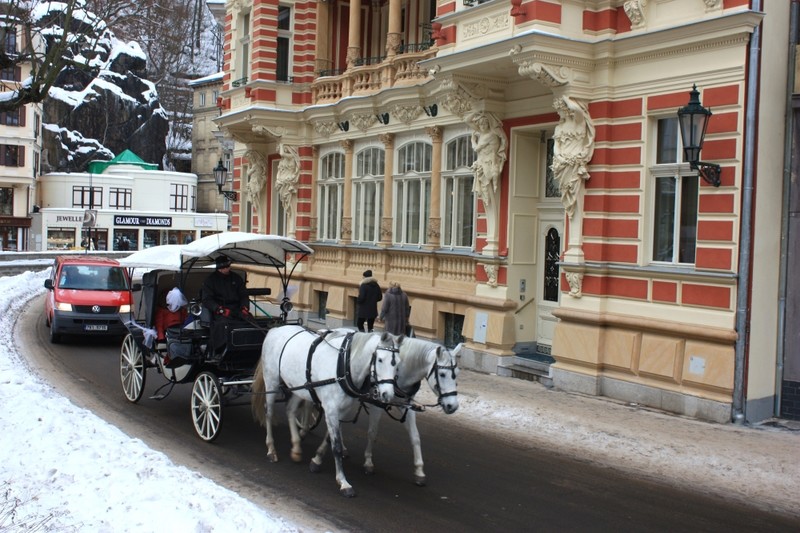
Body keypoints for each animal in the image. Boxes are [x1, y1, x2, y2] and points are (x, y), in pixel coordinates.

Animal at [252, 324, 398, 498]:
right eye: (380, 359)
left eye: (397, 363)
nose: (387, 395)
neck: (344, 365)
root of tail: (274, 330)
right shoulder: (331, 409)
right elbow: (336, 446)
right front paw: (343, 482)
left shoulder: (340, 410)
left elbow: (331, 439)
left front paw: (316, 460)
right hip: (272, 382)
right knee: (269, 413)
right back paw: (271, 449)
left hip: (300, 388)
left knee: (290, 410)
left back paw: (296, 448)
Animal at [364, 336, 460, 486]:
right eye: (443, 374)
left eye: (457, 374)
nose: (453, 406)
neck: (399, 371)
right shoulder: (377, 404)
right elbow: (372, 433)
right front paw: (368, 461)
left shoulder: (406, 406)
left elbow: (415, 437)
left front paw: (419, 470)